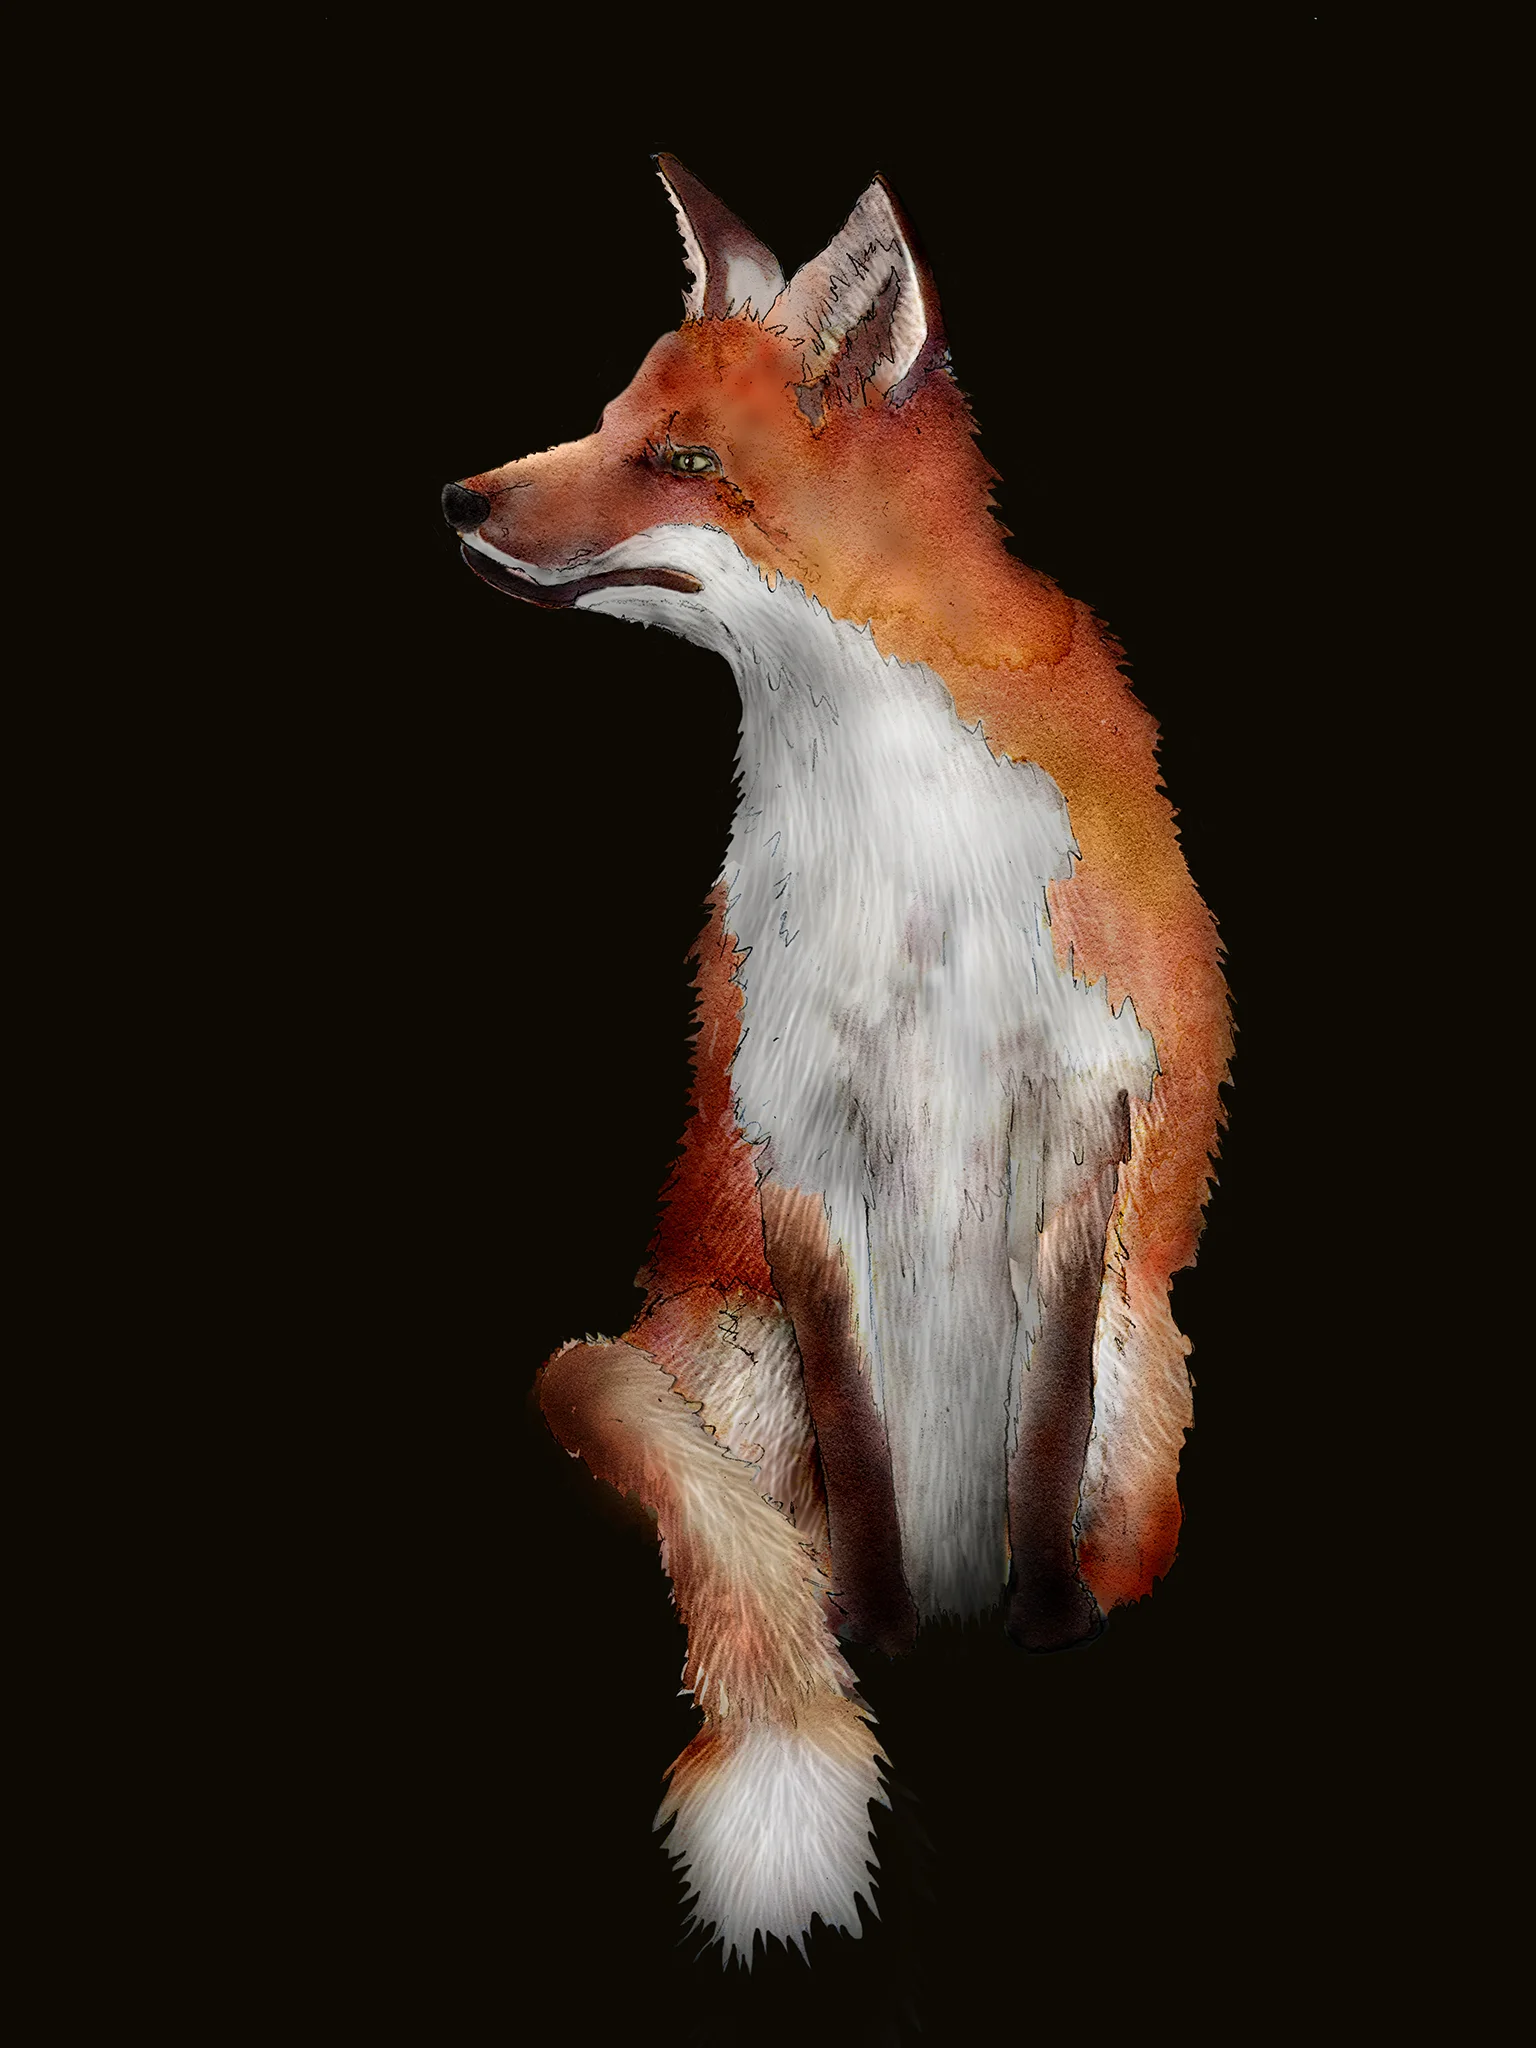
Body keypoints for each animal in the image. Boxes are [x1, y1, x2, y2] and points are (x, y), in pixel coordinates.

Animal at [445, 157, 1230, 1962]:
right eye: (607, 420)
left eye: (677, 460)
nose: (454, 498)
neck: (903, 835)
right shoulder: (799, 1120)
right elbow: (858, 1448)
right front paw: (868, 1629)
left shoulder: (1083, 1108)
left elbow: (1034, 1436)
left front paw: (1043, 1618)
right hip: (727, 1353)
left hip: (1149, 1375)